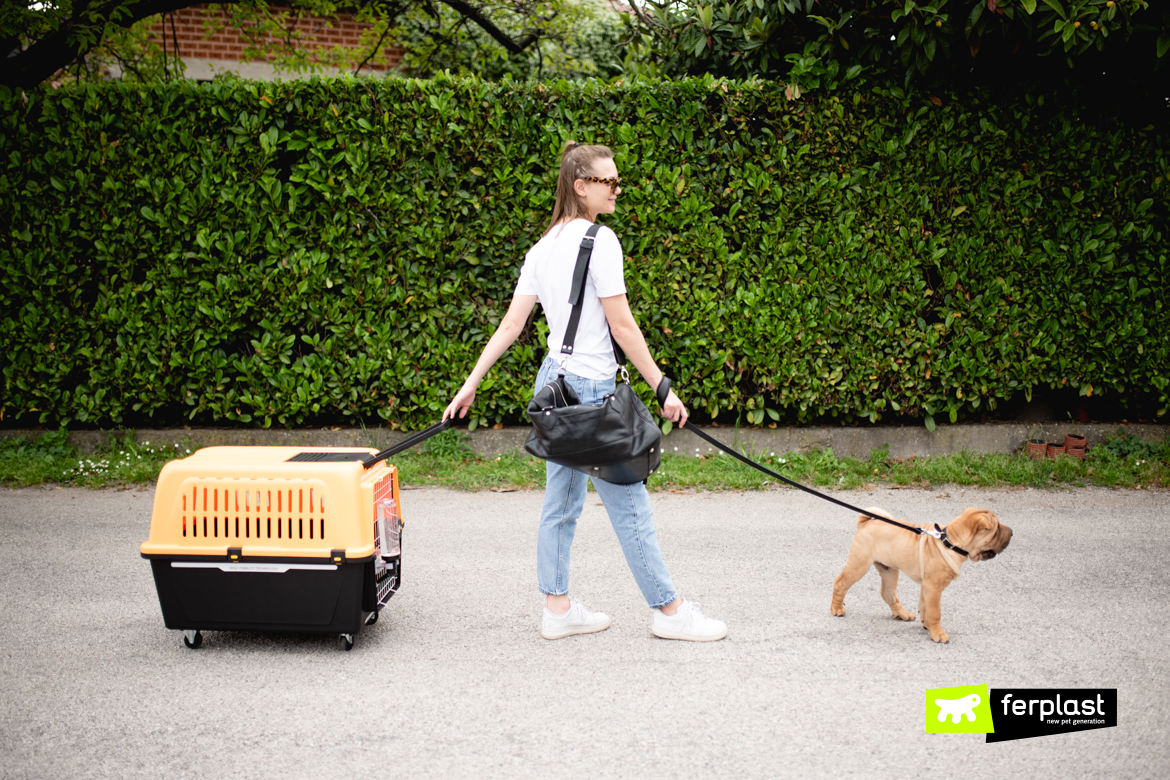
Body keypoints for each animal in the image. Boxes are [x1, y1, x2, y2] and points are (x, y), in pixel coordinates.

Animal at [828, 509, 1010, 645]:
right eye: (997, 529)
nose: (1012, 532)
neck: (950, 542)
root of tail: (867, 522)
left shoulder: (927, 586)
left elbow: (924, 607)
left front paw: (928, 626)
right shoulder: (933, 588)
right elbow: (935, 612)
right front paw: (938, 633)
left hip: (889, 570)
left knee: (888, 594)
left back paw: (902, 614)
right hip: (859, 565)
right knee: (840, 583)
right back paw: (837, 608)